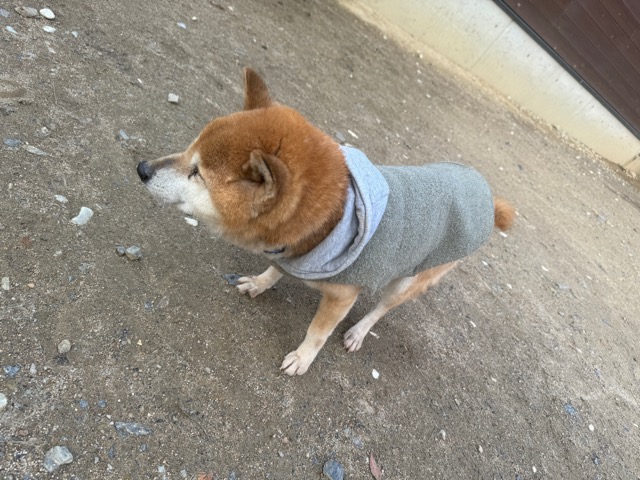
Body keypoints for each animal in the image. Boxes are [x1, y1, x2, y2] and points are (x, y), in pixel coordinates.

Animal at [137, 68, 515, 376]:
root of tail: (487, 198)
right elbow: (275, 270)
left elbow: (318, 332)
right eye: (188, 150)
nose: (141, 168)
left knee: (381, 308)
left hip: (409, 280)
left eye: (196, 173)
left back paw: (358, 332)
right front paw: (260, 283)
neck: (333, 218)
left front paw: (302, 358)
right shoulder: (289, 252)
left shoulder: (341, 297)